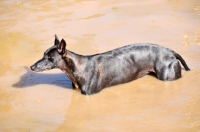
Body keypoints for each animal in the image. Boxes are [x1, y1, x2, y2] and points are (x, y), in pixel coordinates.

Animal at [30, 35, 190, 95]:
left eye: (50, 58)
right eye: (43, 54)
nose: (31, 67)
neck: (77, 67)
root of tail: (171, 52)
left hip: (167, 76)